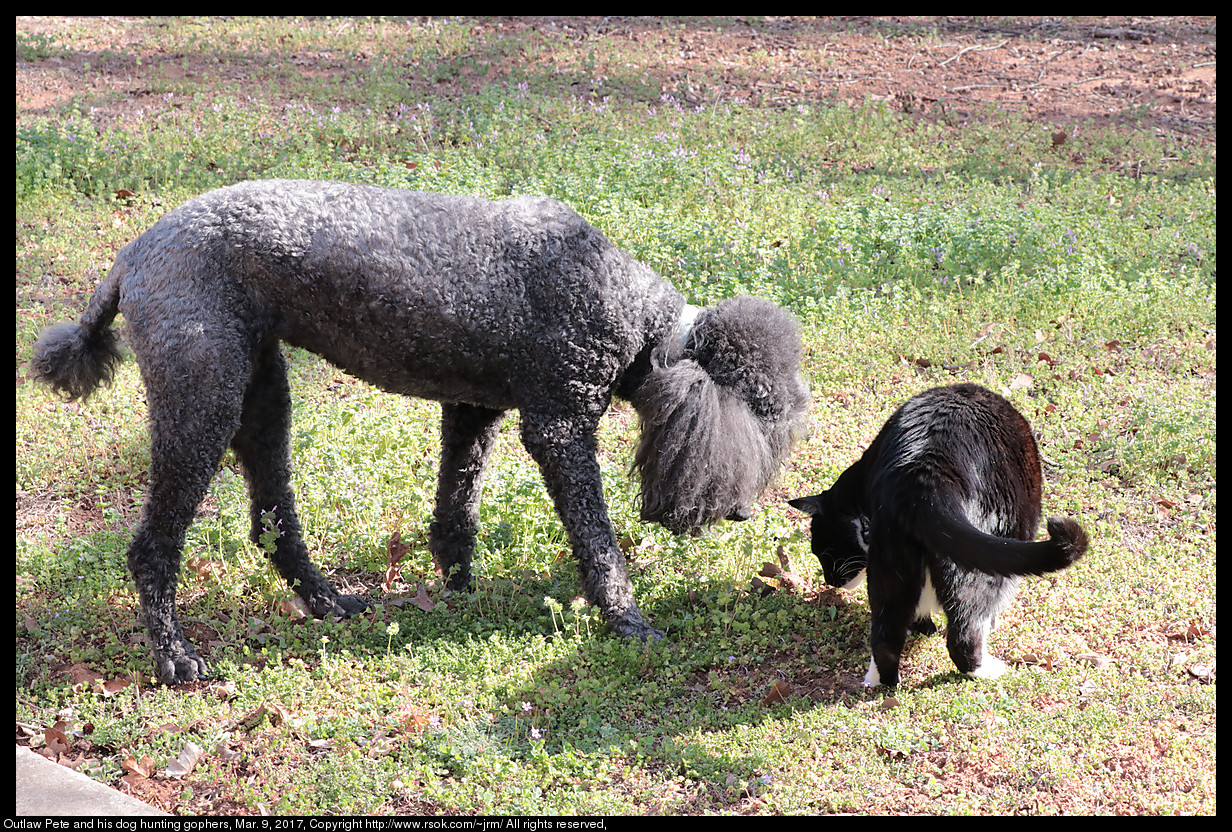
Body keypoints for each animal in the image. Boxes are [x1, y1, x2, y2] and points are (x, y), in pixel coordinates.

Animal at [31, 181, 808, 685]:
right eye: (762, 413)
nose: (745, 513)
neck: (633, 315)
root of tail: (133, 255)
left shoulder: (472, 410)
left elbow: (456, 508)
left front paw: (460, 586)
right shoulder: (559, 427)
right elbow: (597, 539)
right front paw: (627, 619)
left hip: (261, 393)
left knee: (272, 520)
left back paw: (328, 602)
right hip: (202, 400)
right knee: (153, 548)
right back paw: (175, 657)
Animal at [788, 384, 1089, 690]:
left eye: (825, 553)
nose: (830, 581)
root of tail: (922, 478)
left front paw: (923, 627)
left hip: (892, 563)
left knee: (884, 636)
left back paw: (882, 683)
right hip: (980, 558)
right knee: (963, 635)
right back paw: (989, 669)